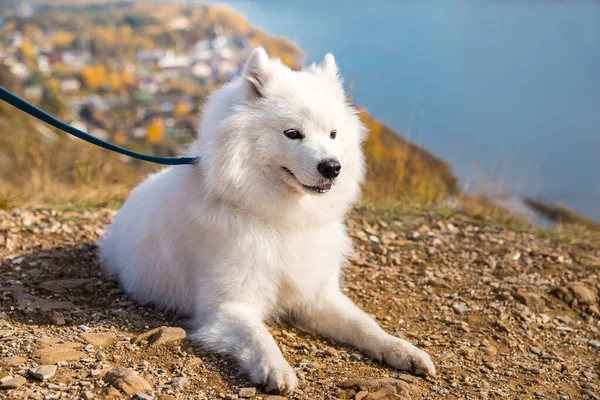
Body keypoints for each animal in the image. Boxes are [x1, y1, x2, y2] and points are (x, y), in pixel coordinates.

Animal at [99, 47, 436, 394]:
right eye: (293, 134)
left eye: (333, 134)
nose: (332, 167)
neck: (280, 218)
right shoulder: (227, 306)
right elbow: (258, 337)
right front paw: (276, 369)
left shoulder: (317, 295)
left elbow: (362, 324)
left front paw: (400, 349)